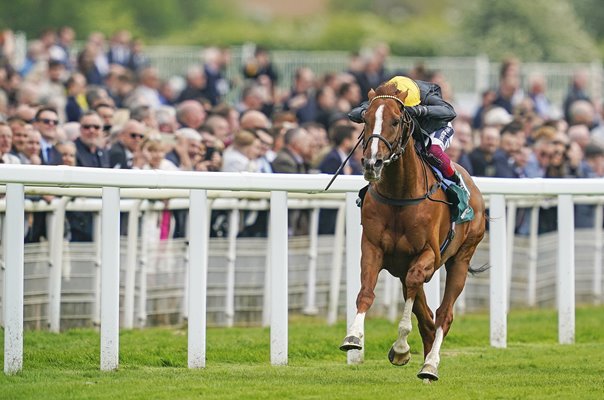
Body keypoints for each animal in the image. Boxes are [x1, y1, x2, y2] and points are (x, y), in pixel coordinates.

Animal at [340, 81, 486, 382]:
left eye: (396, 121)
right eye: (366, 119)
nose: (372, 163)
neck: (400, 193)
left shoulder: (428, 254)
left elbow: (416, 286)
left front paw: (401, 347)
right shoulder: (373, 247)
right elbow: (366, 292)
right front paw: (354, 337)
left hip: (461, 258)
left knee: (443, 314)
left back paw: (430, 365)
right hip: (401, 265)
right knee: (426, 313)